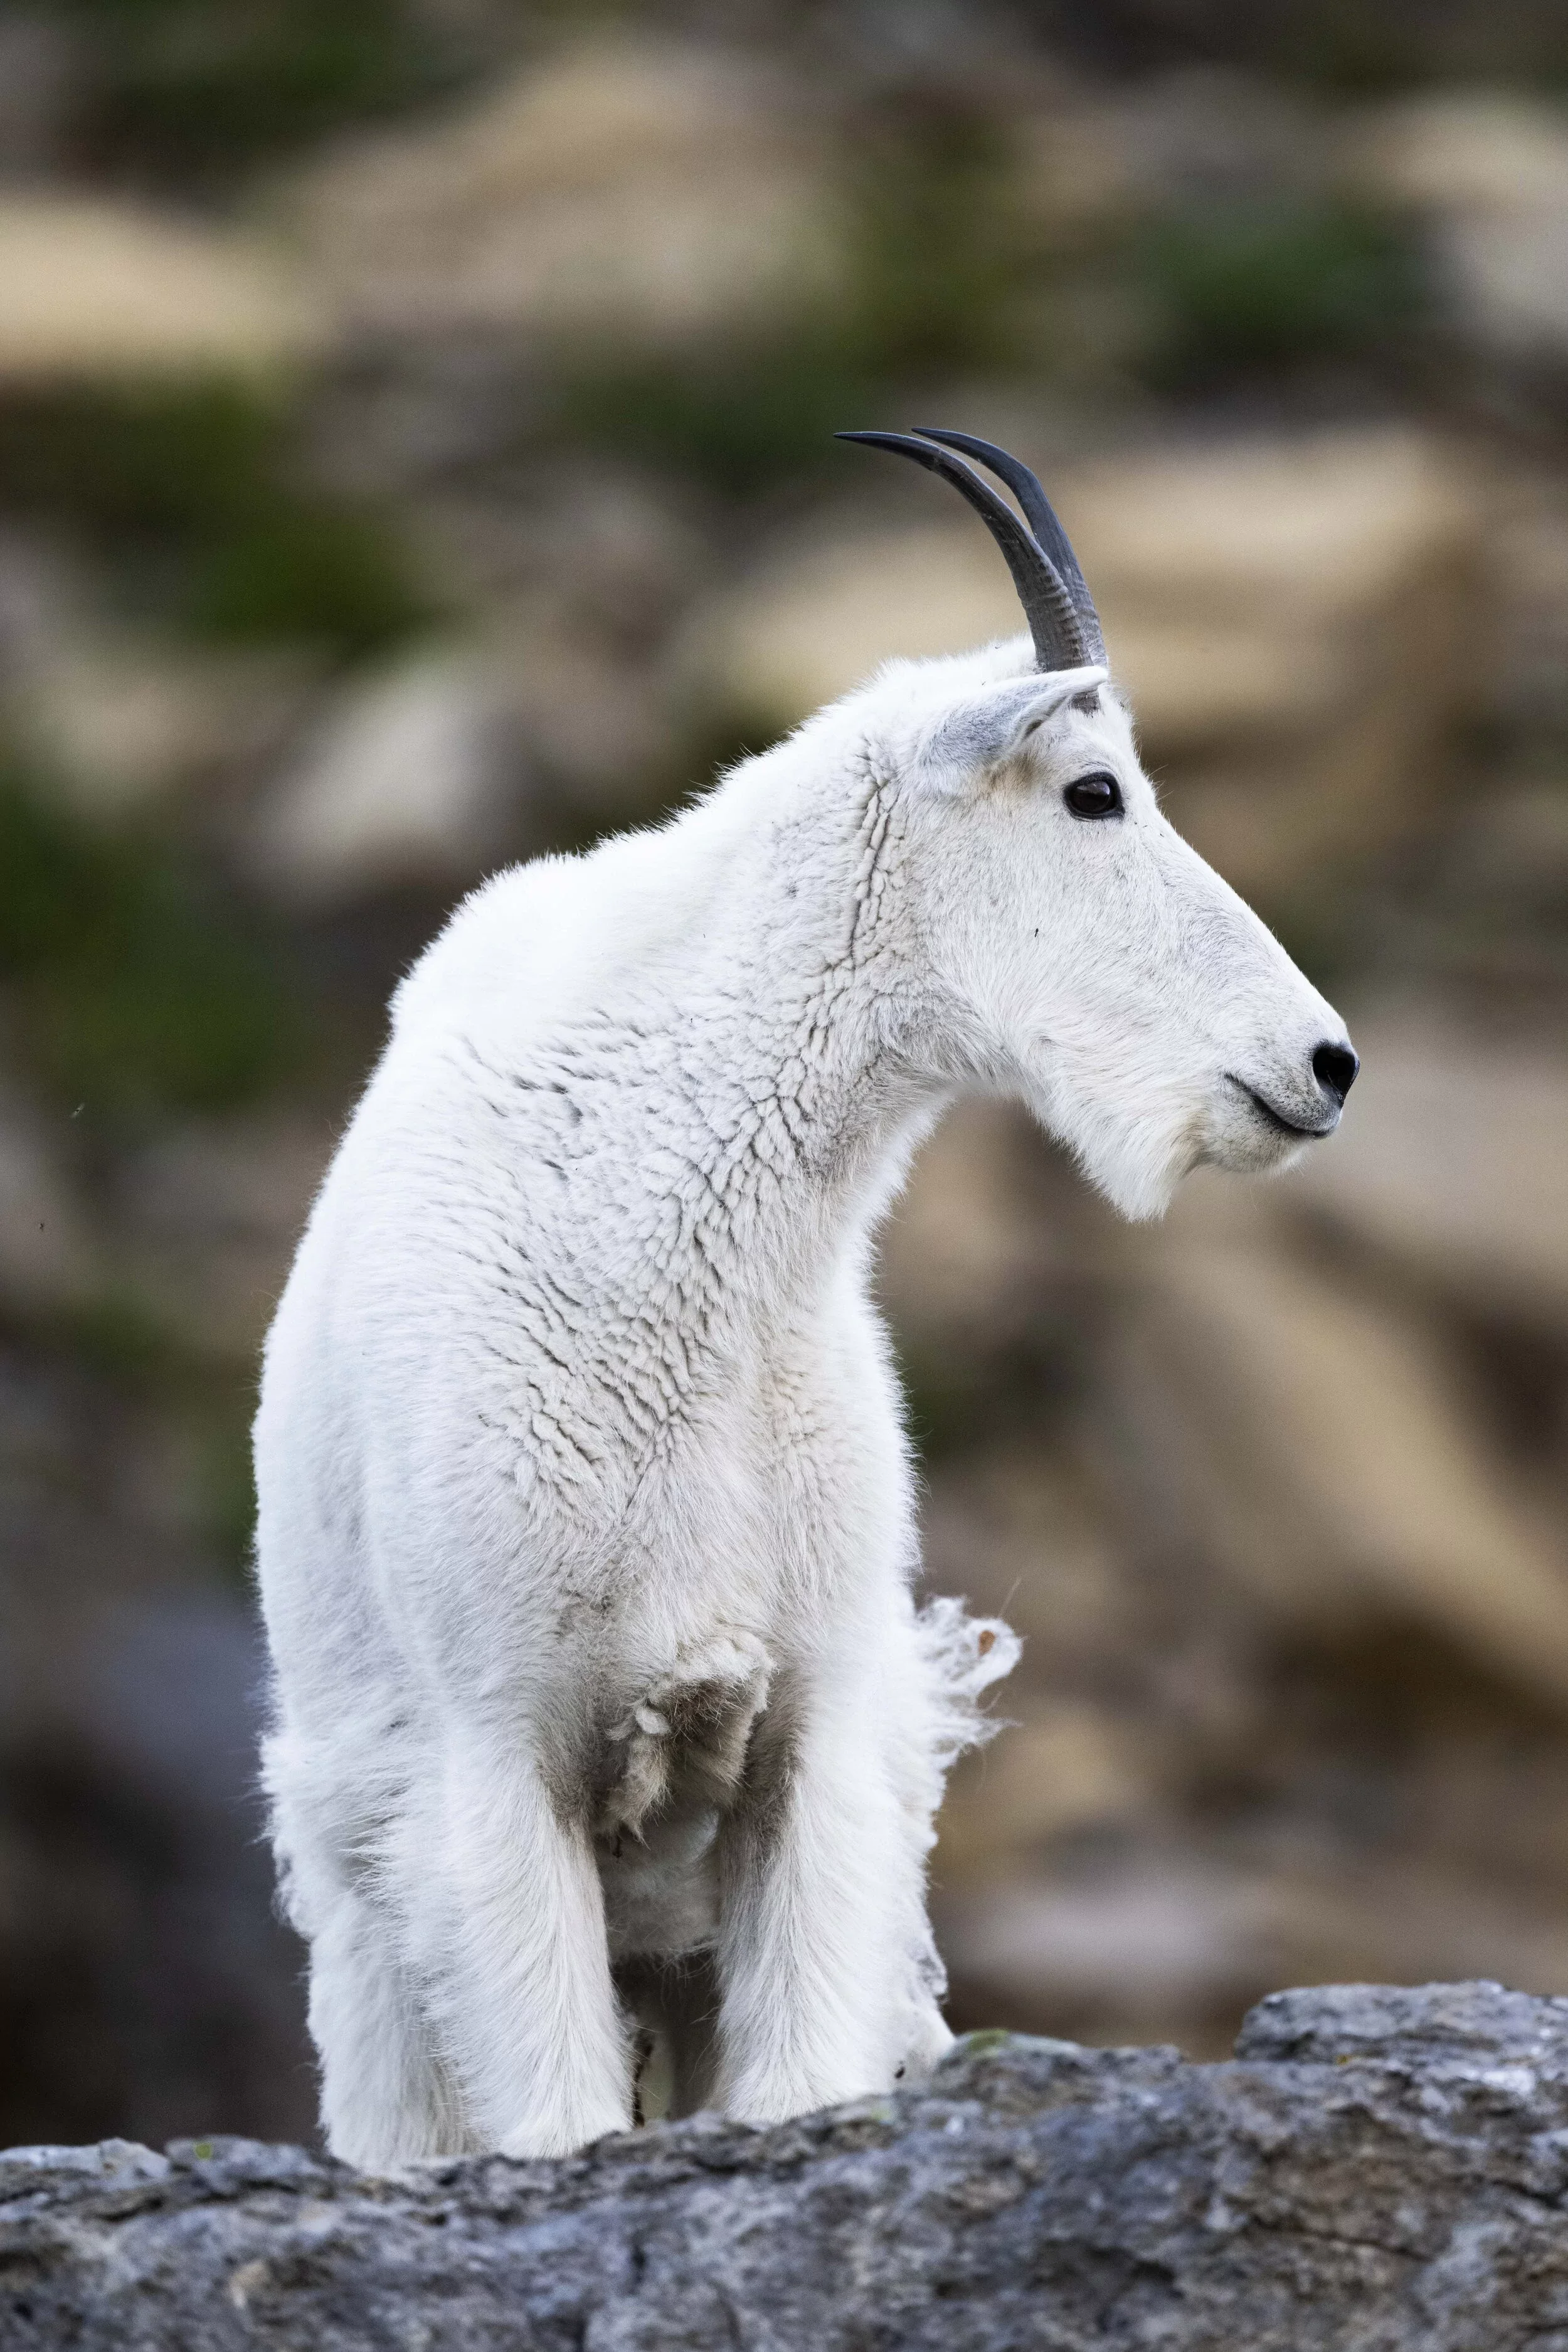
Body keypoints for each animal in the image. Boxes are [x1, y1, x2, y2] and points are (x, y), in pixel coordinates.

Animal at [255, 429, 1358, 2165]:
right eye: (1094, 789)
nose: (1322, 1064)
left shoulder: (810, 1733)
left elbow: (794, 2077)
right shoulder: (495, 1752)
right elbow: (555, 2110)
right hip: (368, 1919)